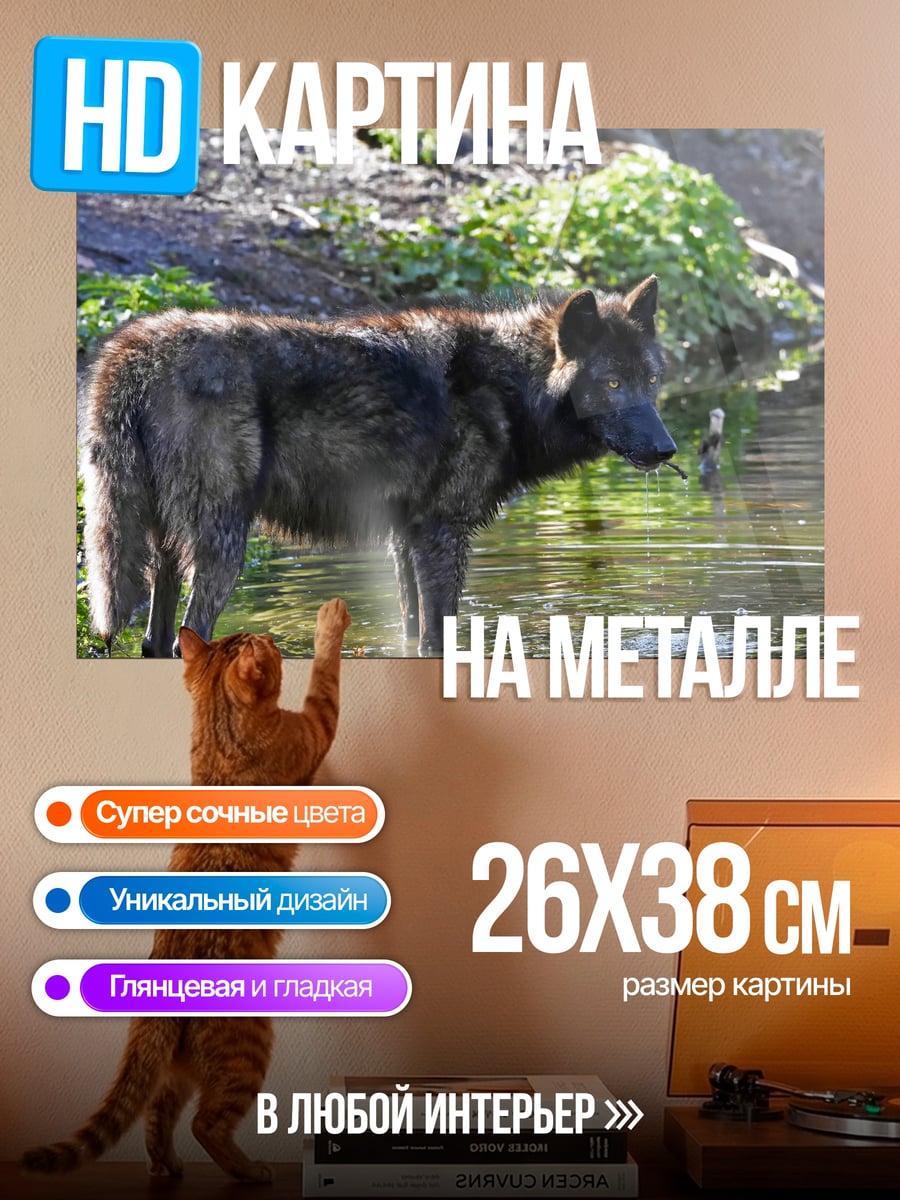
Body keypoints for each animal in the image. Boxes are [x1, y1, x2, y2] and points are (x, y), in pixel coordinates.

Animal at [81, 276, 677, 656]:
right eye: (612, 383)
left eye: (650, 380)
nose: (667, 449)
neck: (509, 387)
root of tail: (133, 350)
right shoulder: (442, 533)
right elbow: (439, 635)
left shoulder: (404, 537)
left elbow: (411, 628)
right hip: (224, 547)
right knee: (190, 636)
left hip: (161, 547)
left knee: (155, 643)